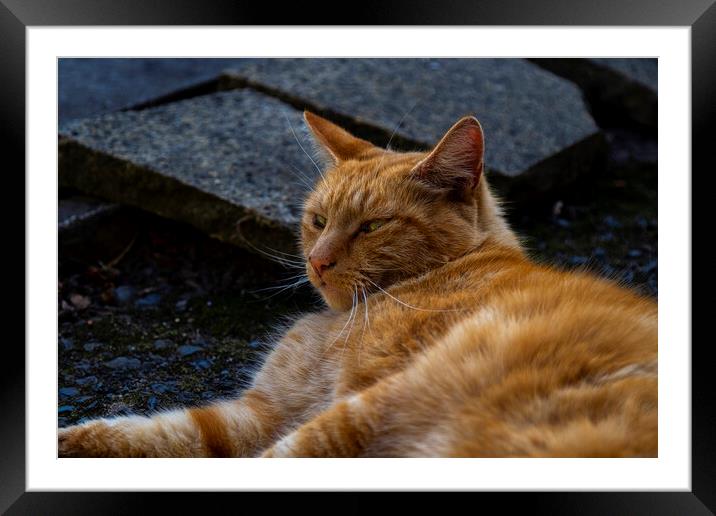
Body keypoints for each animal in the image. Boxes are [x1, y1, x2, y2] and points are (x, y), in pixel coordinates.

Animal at [58, 112, 656, 456]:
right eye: (318, 220)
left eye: (372, 226)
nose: (318, 261)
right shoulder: (264, 412)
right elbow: (162, 432)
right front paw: (74, 440)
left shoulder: (339, 412)